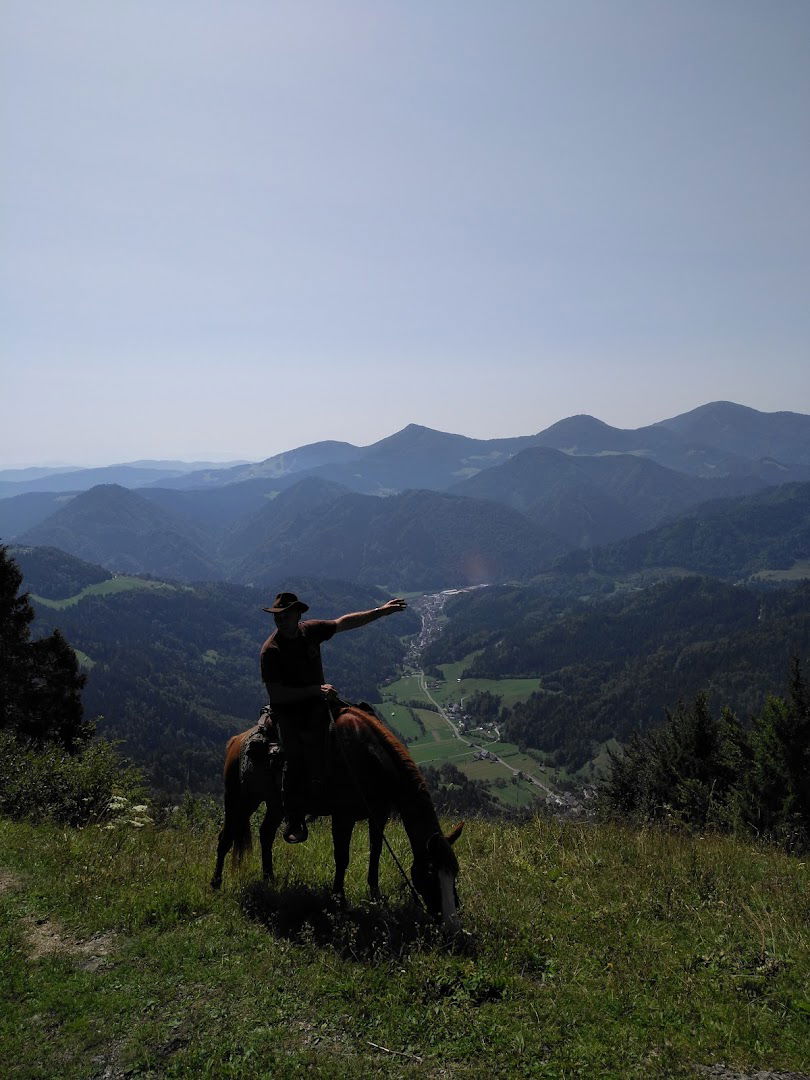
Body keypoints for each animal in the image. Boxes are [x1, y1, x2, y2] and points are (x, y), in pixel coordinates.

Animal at [209, 704, 466, 924]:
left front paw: (375, 894)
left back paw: (269, 878)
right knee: (226, 838)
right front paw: (339, 899)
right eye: (431, 874)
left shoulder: (379, 814)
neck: (370, 760)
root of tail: (237, 740)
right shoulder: (343, 817)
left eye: (454, 871)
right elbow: (342, 857)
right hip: (240, 800)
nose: (451, 921)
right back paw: (216, 883)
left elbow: (376, 851)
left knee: (266, 834)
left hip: (275, 804)